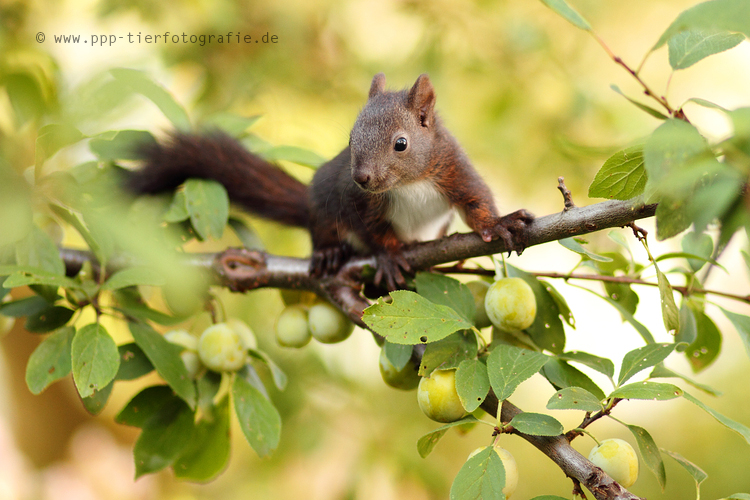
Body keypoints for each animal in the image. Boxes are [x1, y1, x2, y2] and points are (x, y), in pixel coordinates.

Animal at [129, 72, 536, 288]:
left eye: (401, 143)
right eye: (351, 139)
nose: (361, 177)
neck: (408, 184)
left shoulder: (451, 167)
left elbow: (476, 201)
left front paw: (500, 223)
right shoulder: (357, 201)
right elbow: (373, 231)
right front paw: (388, 255)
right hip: (321, 204)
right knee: (325, 228)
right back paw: (329, 252)